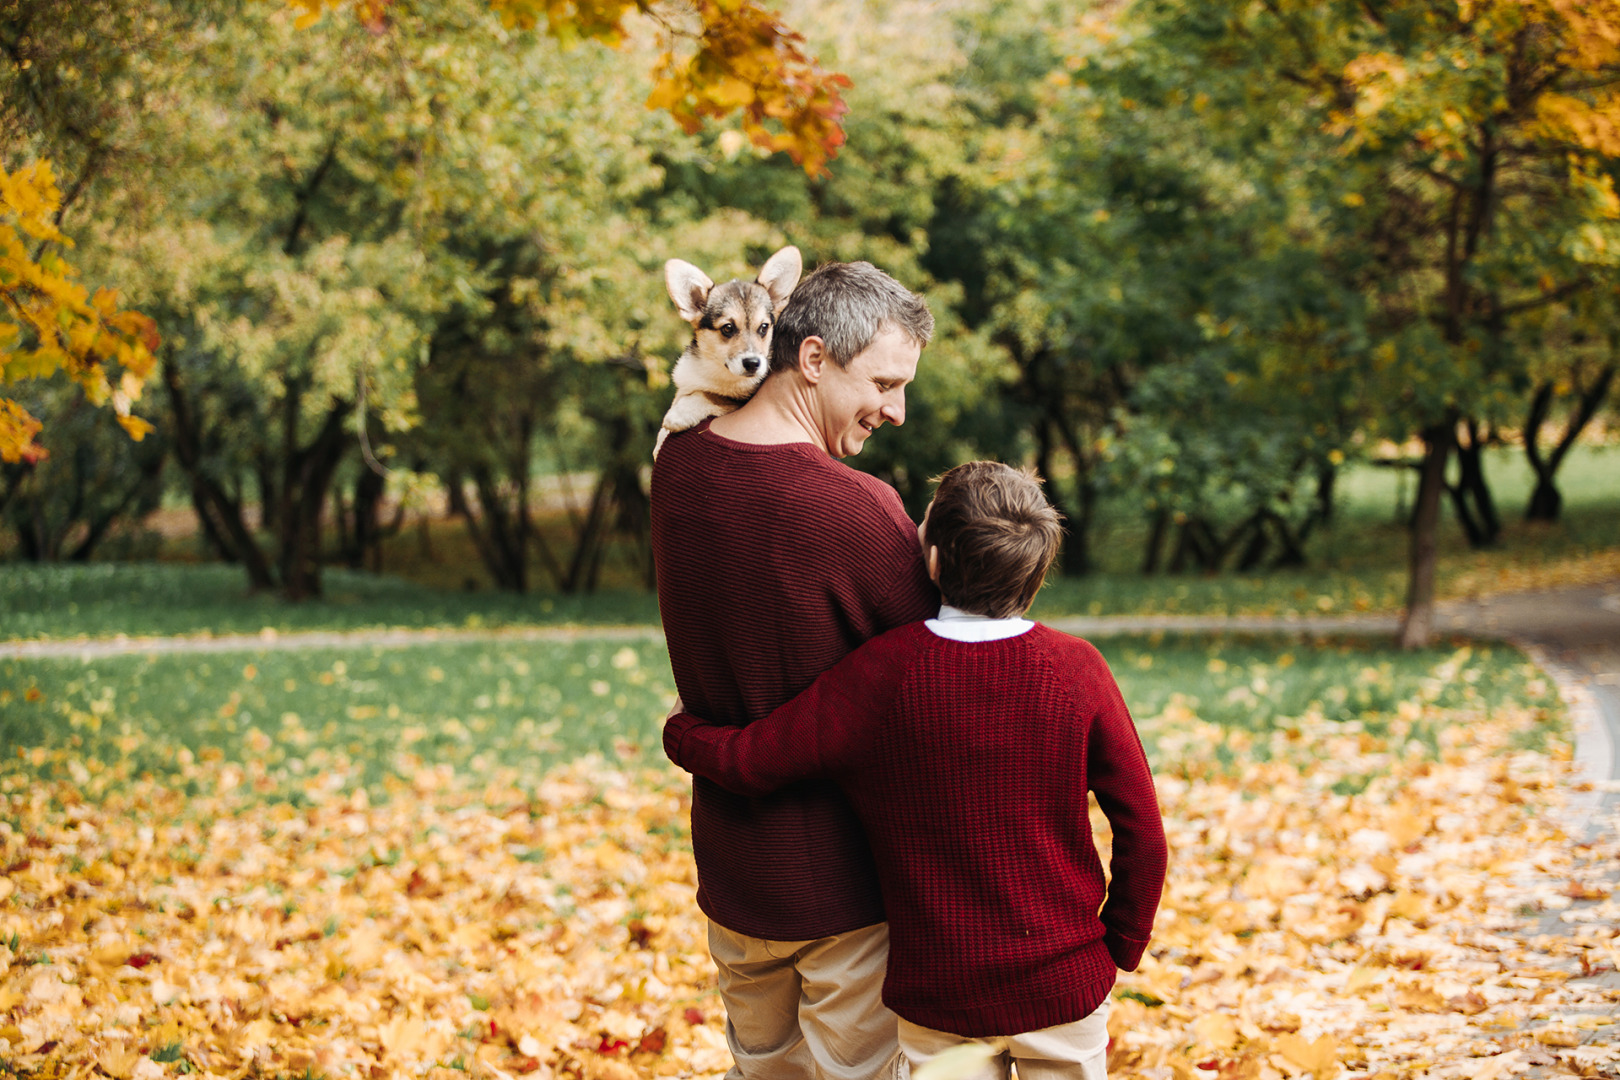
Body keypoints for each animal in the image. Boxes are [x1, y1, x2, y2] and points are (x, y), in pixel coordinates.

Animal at [644, 242, 797, 459]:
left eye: (764, 327)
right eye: (728, 328)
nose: (753, 364)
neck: (716, 370)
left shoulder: (739, 400)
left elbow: (710, 395)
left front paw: (678, 416)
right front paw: (660, 441)